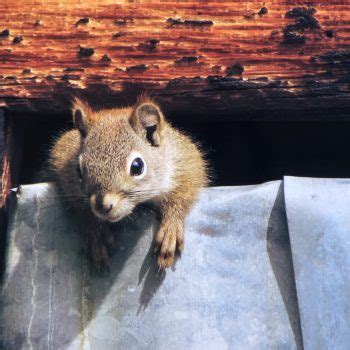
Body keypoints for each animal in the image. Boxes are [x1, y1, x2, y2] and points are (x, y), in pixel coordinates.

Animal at [47, 97, 206, 270]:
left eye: (137, 166)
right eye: (78, 169)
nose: (102, 206)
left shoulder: (185, 159)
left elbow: (185, 189)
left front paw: (171, 227)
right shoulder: (63, 157)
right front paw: (95, 230)